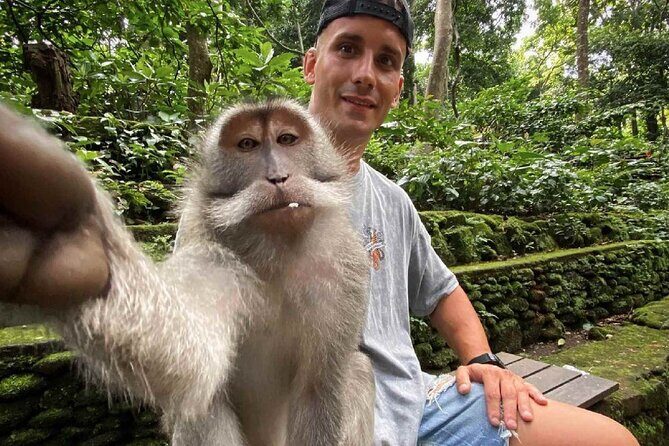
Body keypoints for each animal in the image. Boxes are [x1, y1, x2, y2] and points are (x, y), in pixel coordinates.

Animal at [0, 99, 375, 446]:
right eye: (248, 144)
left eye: (286, 139)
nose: (278, 177)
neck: (278, 251)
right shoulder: (210, 255)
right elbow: (194, 361)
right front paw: (79, 249)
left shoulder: (345, 273)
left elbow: (318, 390)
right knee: (205, 405)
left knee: (358, 370)